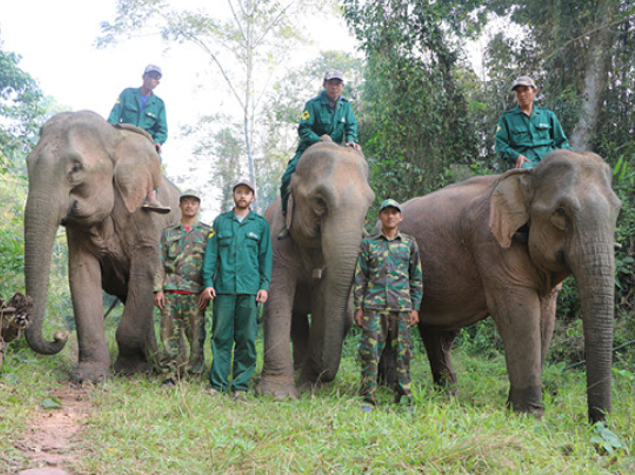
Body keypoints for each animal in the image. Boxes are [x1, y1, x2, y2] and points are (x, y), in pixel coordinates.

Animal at [23, 110, 180, 384]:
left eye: (76, 168)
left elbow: (146, 273)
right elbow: (81, 273)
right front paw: (88, 377)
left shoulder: (149, 222)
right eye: (28, 163)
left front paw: (129, 372)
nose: (59, 335)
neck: (116, 137)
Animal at [258, 141, 376, 398]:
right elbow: (277, 299)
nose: (326, 375)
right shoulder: (276, 244)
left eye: (369, 205)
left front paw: (310, 388)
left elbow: (325, 302)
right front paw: (278, 394)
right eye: (320, 201)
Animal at [388, 151, 620, 422]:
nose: (596, 423)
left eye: (618, 210)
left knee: (439, 334)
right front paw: (529, 416)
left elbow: (545, 318)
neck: (527, 177)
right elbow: (519, 313)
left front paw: (518, 409)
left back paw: (447, 396)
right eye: (561, 212)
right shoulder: (491, 243)